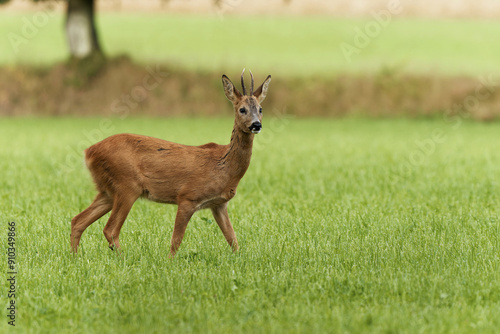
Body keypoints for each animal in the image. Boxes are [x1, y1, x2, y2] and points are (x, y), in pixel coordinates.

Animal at [71, 70, 270, 258]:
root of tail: (89, 152)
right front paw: (170, 261)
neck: (224, 166)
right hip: (126, 185)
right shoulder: (188, 196)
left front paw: (240, 258)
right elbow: (177, 239)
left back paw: (74, 257)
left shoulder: (219, 204)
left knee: (78, 220)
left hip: (107, 190)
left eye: (260, 109)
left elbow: (232, 238)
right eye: (242, 109)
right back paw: (123, 258)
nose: (256, 125)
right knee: (110, 229)